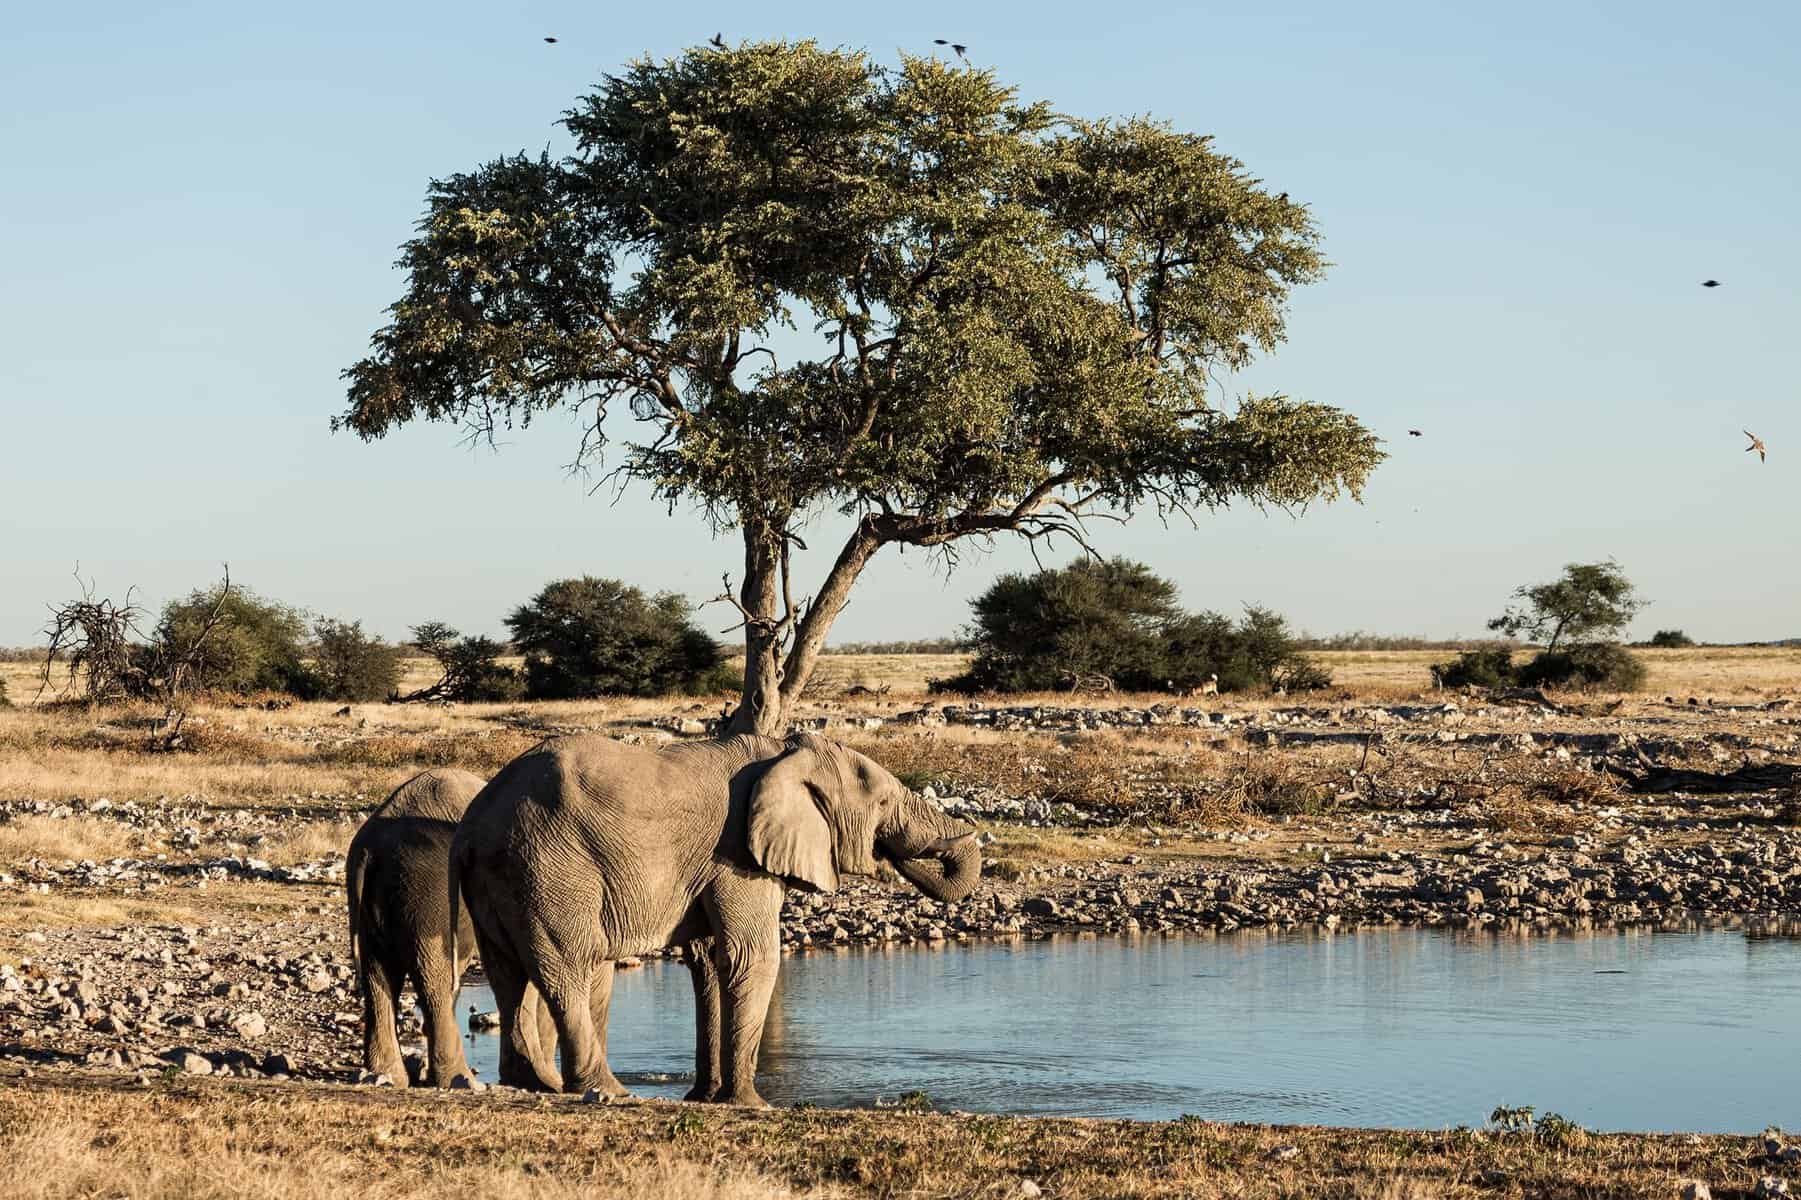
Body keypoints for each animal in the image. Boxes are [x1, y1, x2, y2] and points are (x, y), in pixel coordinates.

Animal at [345, 767, 487, 1087]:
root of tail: (370, 850)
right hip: (427, 899)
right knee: (434, 982)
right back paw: (461, 1081)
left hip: (372, 906)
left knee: (377, 977)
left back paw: (387, 1076)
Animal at [450, 731, 982, 1107]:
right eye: (884, 804)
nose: (889, 853)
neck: (784, 754)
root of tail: (473, 824)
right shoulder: (739, 856)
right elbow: (751, 955)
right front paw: (752, 1104)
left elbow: (707, 962)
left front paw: (705, 1098)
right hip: (549, 867)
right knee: (570, 970)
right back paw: (607, 1090)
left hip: (504, 875)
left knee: (508, 974)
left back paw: (534, 1084)